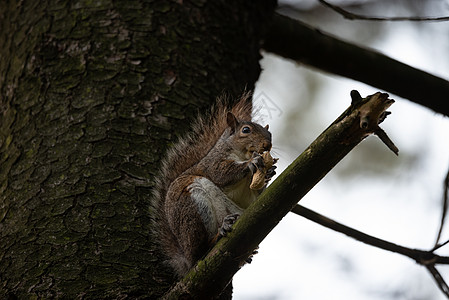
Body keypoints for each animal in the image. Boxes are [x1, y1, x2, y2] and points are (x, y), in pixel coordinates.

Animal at [152, 94, 274, 278]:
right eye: (246, 130)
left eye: (270, 134)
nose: (267, 145)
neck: (242, 154)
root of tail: (186, 261)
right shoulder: (213, 163)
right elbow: (222, 173)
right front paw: (251, 163)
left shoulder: (249, 197)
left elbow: (253, 198)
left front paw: (269, 173)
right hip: (193, 206)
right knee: (200, 250)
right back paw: (219, 233)